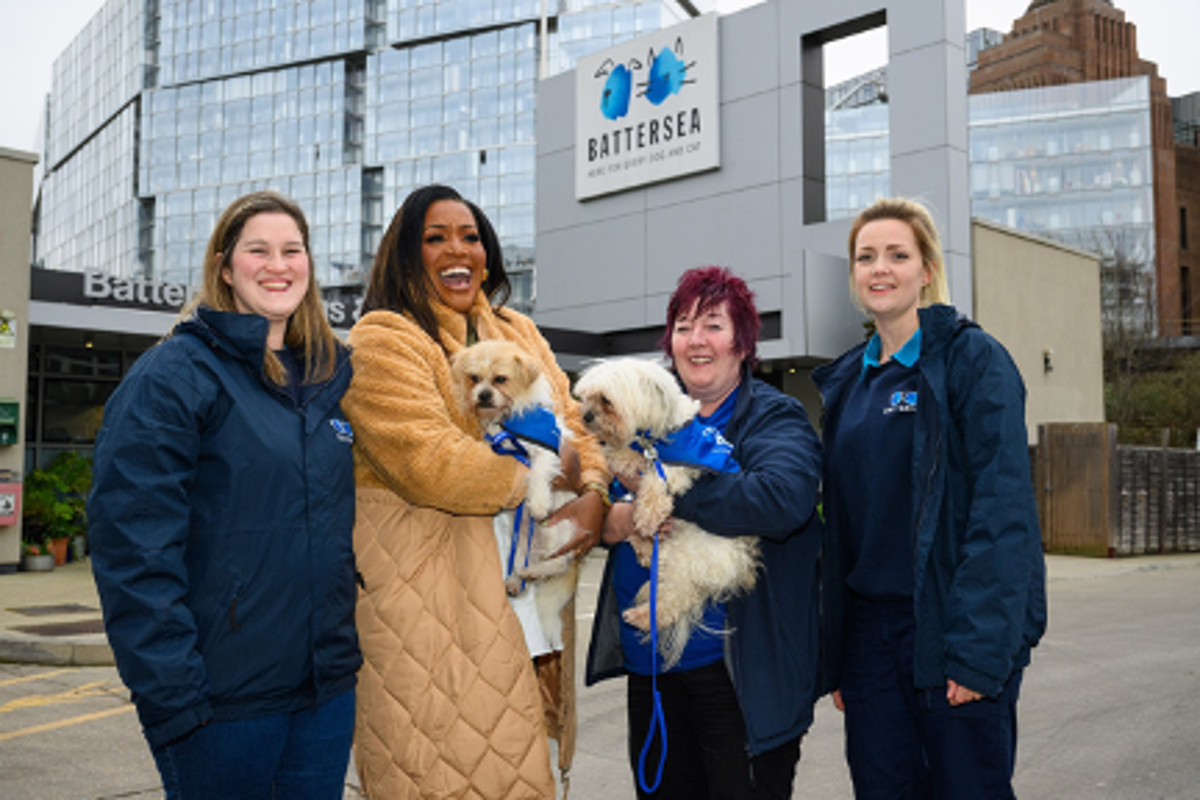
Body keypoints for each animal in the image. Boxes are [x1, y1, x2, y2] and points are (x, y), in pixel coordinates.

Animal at [451, 340, 580, 652]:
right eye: (474, 378)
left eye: (500, 379)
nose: (483, 395)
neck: (510, 421)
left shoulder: (546, 452)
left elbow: (538, 474)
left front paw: (538, 503)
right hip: (517, 535)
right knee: (523, 560)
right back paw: (515, 578)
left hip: (558, 530)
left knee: (557, 562)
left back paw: (534, 570)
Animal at [571, 357, 758, 671]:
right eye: (585, 397)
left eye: (606, 400)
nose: (584, 416)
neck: (652, 436)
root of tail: (739, 565)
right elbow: (628, 460)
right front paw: (615, 456)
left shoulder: (679, 464)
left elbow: (655, 478)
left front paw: (648, 513)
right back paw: (643, 546)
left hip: (685, 560)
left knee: (674, 599)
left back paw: (643, 616)